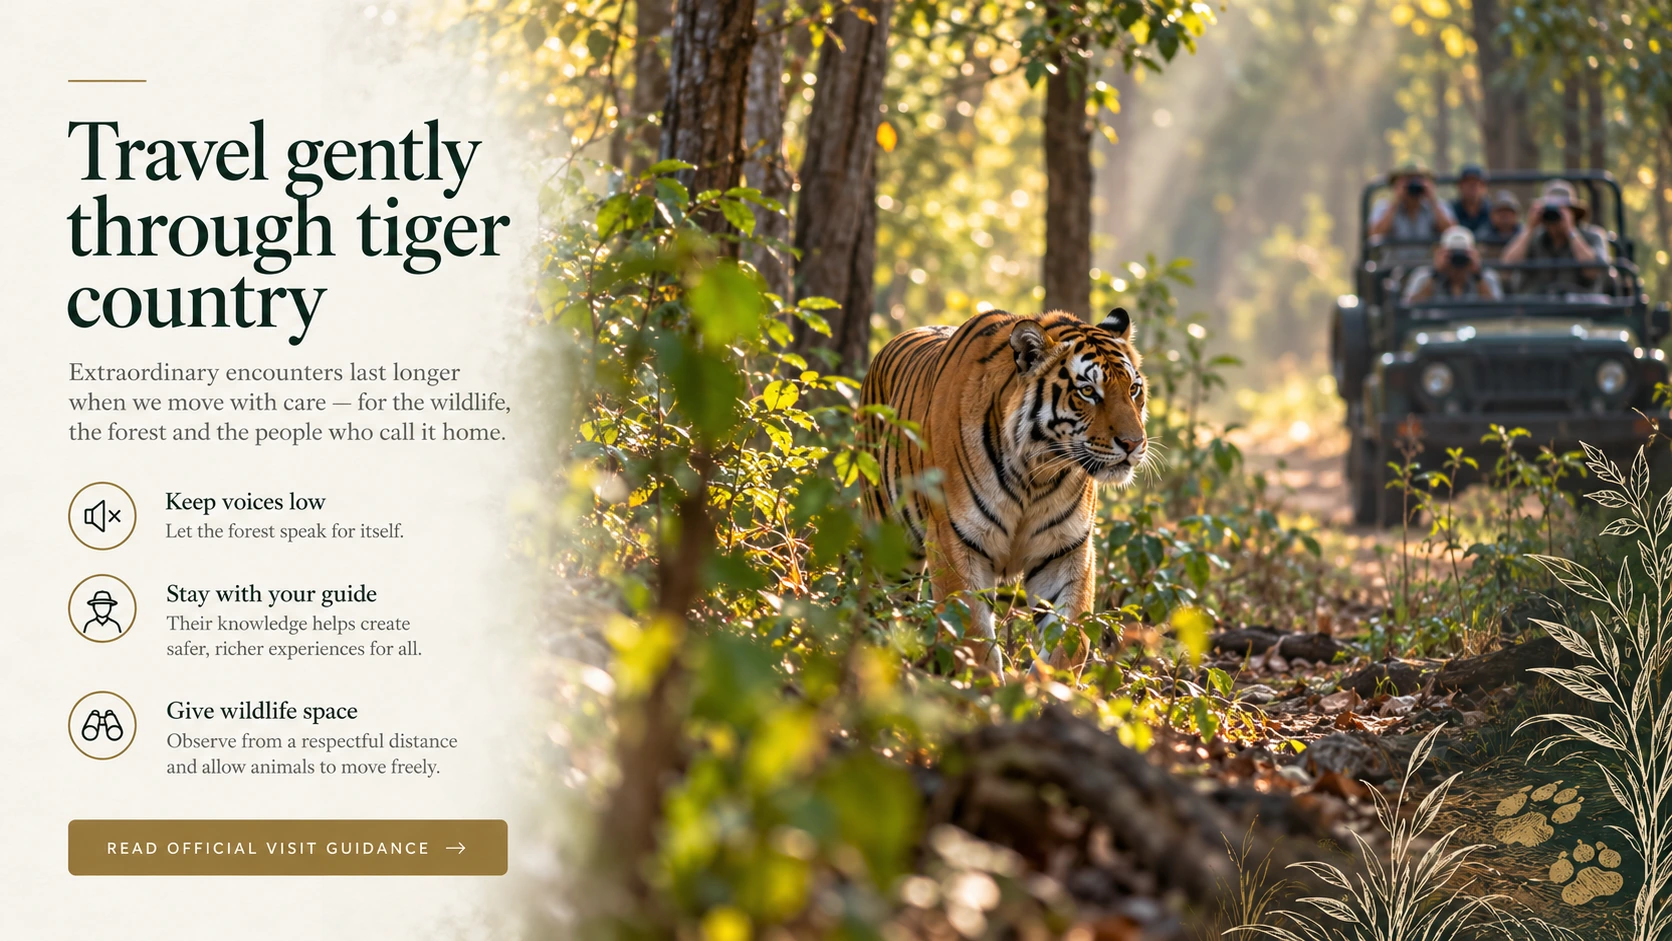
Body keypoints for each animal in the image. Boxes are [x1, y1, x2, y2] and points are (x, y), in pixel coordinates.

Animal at [858, 307, 1149, 670]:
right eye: (1087, 392)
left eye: (1134, 389)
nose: (1133, 443)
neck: (1037, 472)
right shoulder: (955, 540)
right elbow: (973, 639)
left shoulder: (1066, 548)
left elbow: (1070, 639)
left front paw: (1049, 684)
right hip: (892, 548)